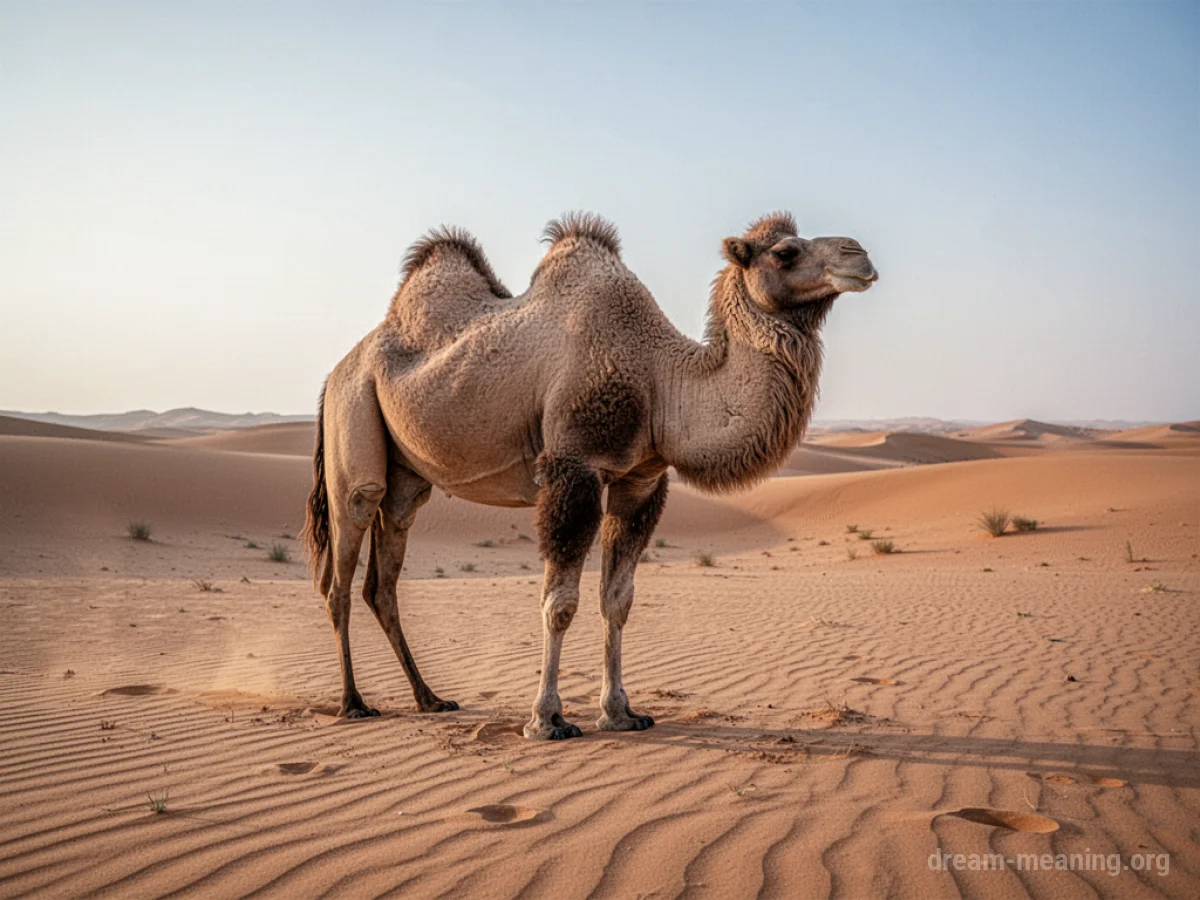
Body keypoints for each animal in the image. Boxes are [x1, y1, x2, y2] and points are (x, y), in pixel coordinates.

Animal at [302, 211, 878, 740]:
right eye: (785, 252)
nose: (860, 255)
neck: (660, 378)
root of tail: (333, 374)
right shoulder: (571, 467)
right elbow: (560, 603)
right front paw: (547, 719)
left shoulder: (638, 480)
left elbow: (617, 600)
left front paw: (621, 712)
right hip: (355, 425)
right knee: (341, 567)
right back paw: (353, 703)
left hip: (406, 477)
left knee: (383, 578)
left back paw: (430, 698)